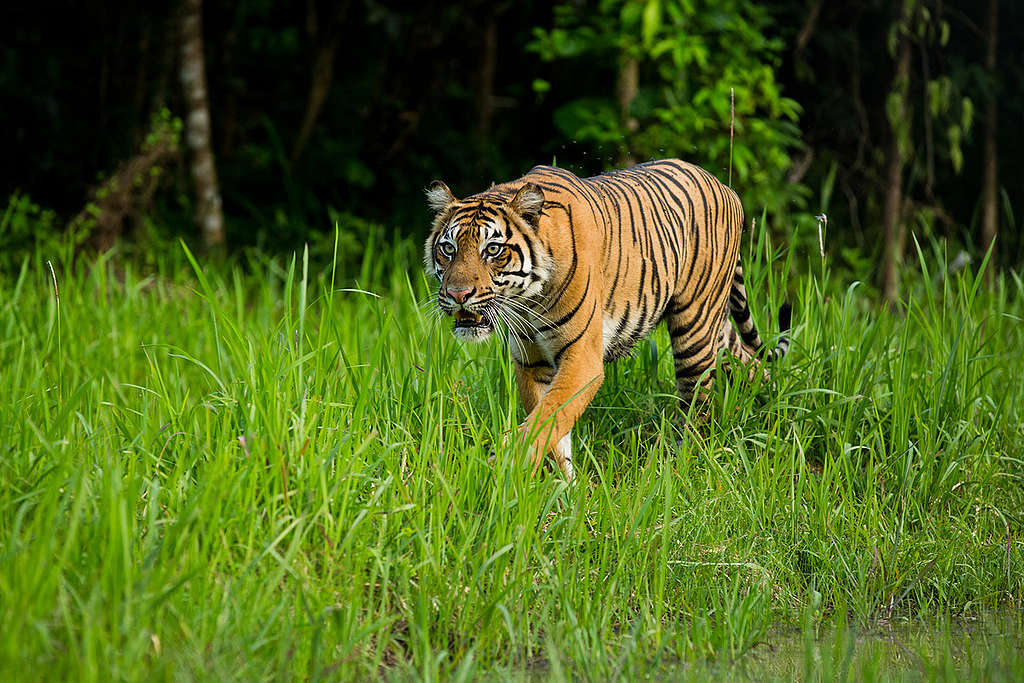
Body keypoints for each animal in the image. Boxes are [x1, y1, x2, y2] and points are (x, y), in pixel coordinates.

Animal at [423, 159, 790, 481]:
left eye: (493, 250)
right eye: (448, 248)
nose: (458, 294)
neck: (526, 300)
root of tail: (725, 186)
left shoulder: (581, 360)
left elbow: (544, 421)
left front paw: (502, 463)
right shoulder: (531, 362)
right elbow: (551, 425)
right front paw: (562, 488)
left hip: (695, 328)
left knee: (695, 408)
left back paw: (676, 468)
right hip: (716, 329)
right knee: (751, 362)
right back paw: (778, 404)